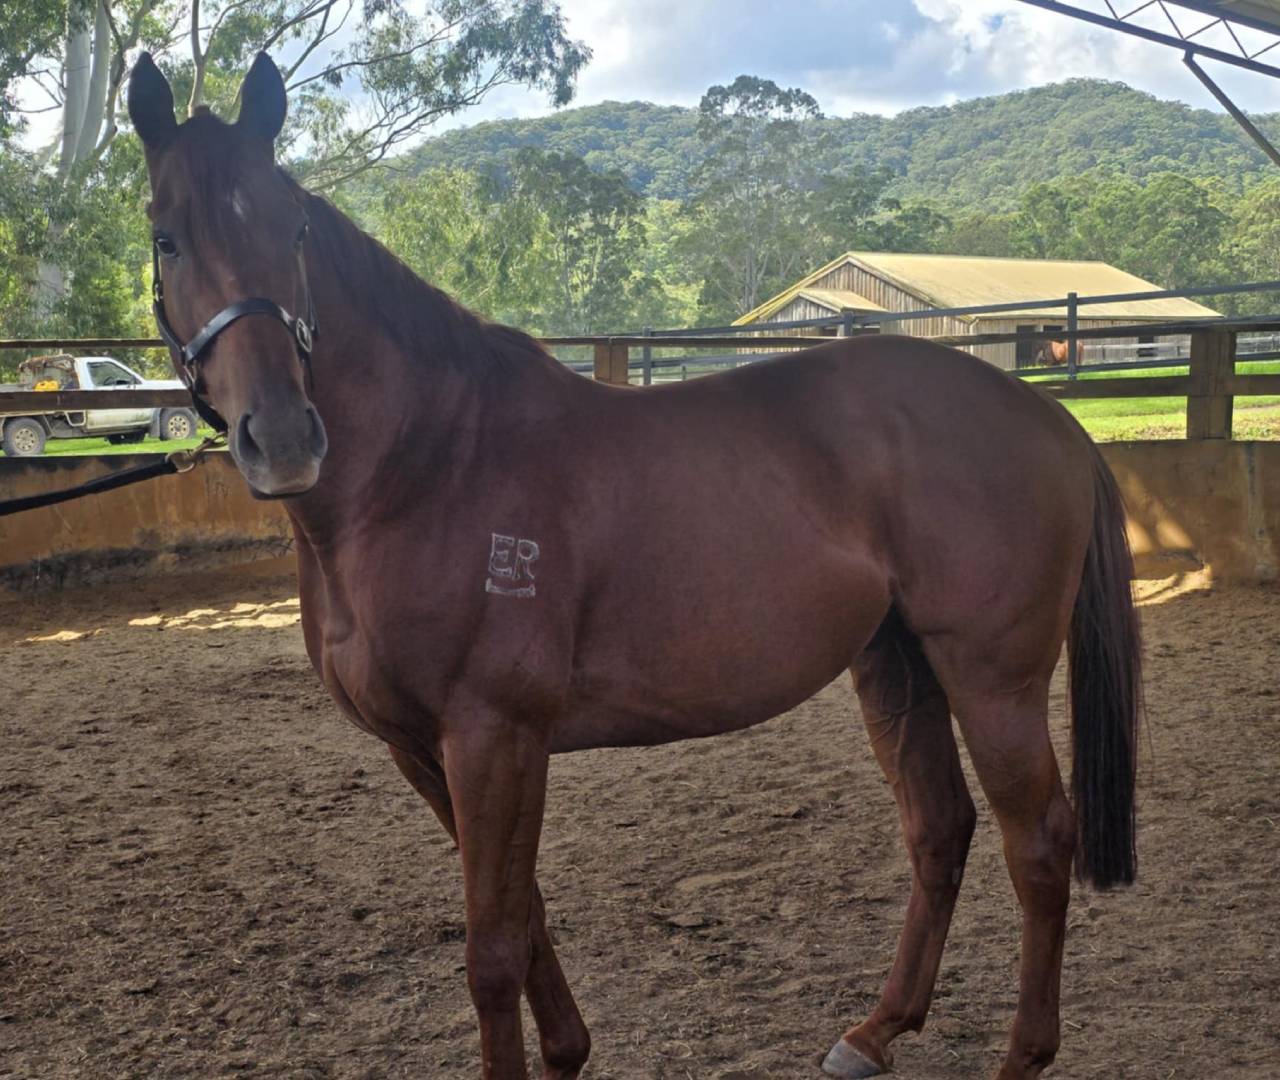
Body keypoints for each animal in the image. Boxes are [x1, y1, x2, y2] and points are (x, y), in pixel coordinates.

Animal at [128, 53, 1141, 1080]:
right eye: (166, 238)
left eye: (292, 226)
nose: (284, 439)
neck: (431, 462)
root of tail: (1047, 415)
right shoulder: (424, 750)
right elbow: (524, 915)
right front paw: (568, 1051)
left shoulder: (492, 738)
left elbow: (493, 951)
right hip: (898, 665)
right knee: (940, 830)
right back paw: (874, 1032)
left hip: (991, 678)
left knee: (1039, 843)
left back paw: (1020, 1053)